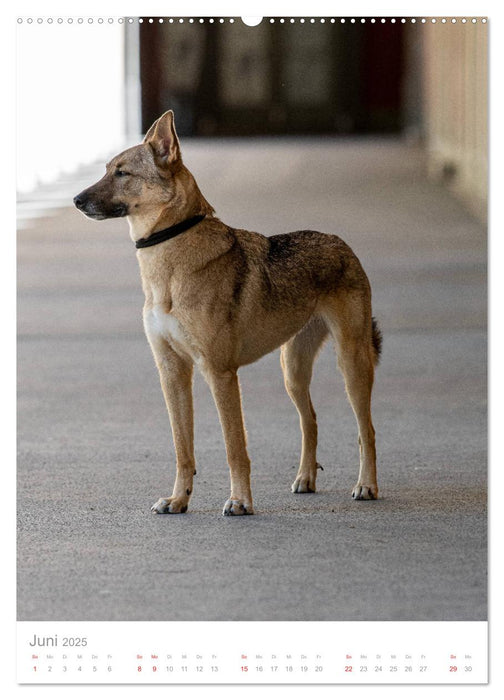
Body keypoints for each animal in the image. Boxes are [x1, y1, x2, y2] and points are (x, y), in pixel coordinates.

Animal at [74, 109, 382, 516]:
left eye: (122, 173)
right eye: (107, 169)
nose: (76, 200)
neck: (168, 256)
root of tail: (341, 242)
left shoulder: (219, 373)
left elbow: (234, 447)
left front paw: (240, 501)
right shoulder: (172, 372)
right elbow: (182, 449)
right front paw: (178, 500)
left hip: (351, 364)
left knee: (366, 431)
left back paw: (366, 485)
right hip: (293, 371)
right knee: (311, 422)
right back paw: (305, 479)